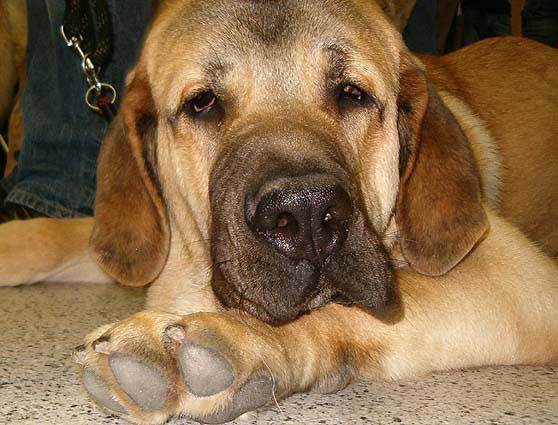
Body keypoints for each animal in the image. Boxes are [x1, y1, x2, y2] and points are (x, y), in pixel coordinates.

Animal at [1, 0, 558, 422]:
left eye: (352, 94)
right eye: (202, 103)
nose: (307, 214)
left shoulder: (517, 277)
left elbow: (334, 311)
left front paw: (224, 345)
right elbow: (58, 234)